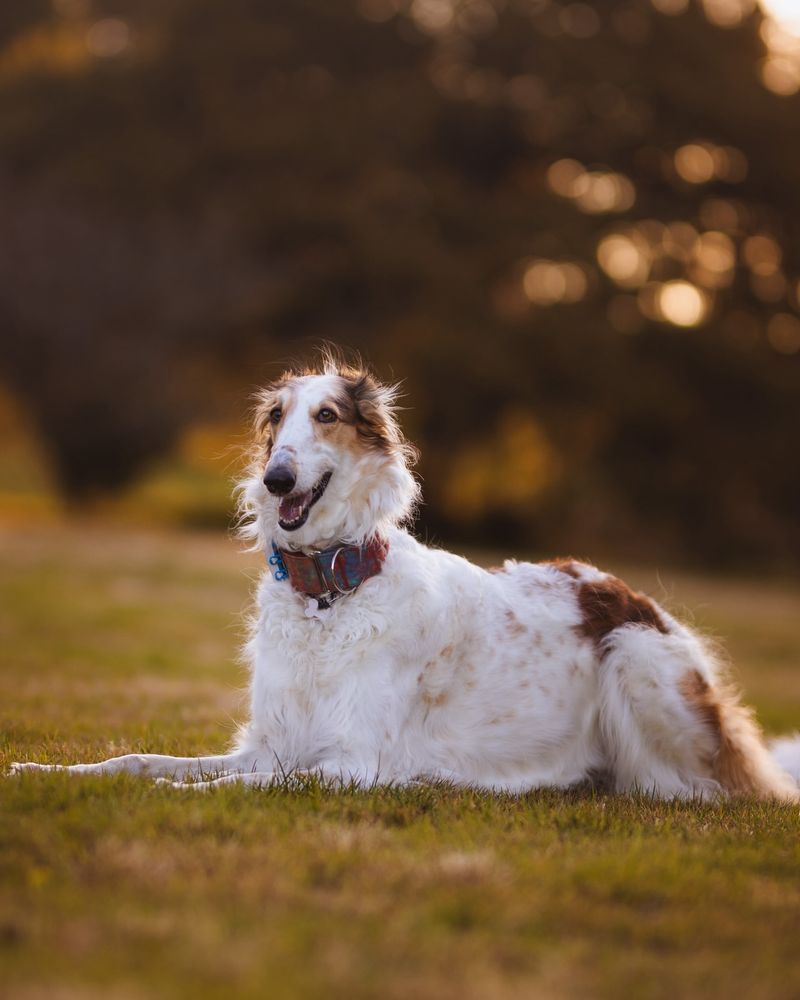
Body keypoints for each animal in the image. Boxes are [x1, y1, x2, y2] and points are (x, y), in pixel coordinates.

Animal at [10, 360, 800, 796]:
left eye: (328, 415)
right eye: (277, 419)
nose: (275, 478)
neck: (331, 592)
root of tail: (631, 596)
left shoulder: (352, 765)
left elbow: (232, 786)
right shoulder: (273, 742)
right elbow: (138, 761)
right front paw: (43, 775)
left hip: (635, 665)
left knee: (698, 789)